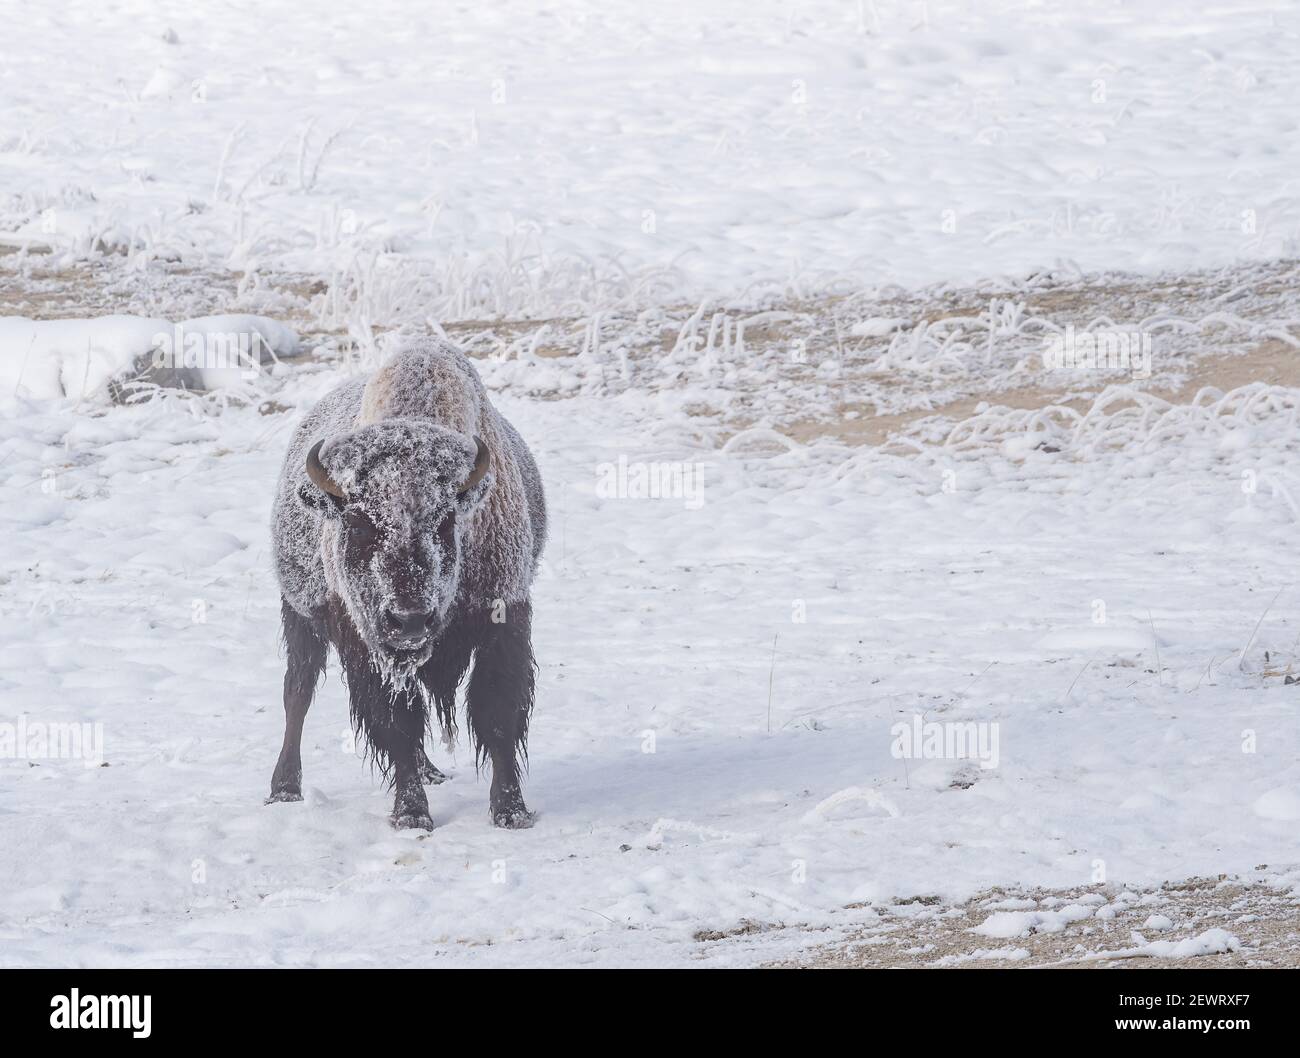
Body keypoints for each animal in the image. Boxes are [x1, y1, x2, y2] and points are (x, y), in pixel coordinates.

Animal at [266, 335, 546, 831]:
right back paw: (284, 788)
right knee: (297, 692)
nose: (409, 621)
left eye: (446, 521)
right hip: (299, 616)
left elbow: (497, 713)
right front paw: (412, 814)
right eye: (358, 523)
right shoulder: (366, 645)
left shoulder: (505, 619)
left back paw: (432, 772)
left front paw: (511, 811)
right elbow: (396, 723)